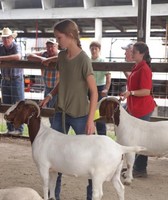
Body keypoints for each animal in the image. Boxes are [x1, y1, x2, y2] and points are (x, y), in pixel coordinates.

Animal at [3, 100, 146, 200]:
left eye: (19, 107)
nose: (5, 115)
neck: (40, 134)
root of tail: (119, 147)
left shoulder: (43, 166)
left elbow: (45, 185)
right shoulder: (54, 169)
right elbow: (52, 185)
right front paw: (53, 197)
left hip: (98, 175)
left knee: (98, 194)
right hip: (115, 173)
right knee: (120, 189)